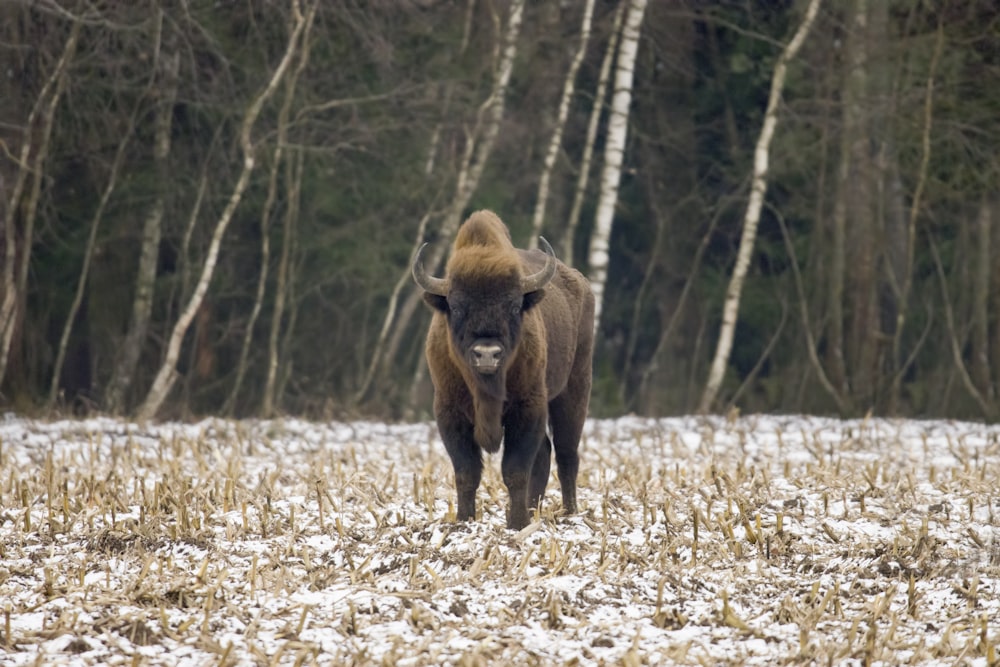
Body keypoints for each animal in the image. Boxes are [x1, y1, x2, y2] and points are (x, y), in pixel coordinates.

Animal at [412, 211, 592, 528]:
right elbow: (466, 472)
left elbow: (515, 470)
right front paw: (464, 521)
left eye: (514, 305)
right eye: (456, 307)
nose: (487, 353)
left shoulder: (528, 408)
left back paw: (570, 513)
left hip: (573, 392)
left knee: (566, 455)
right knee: (546, 453)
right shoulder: (449, 413)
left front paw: (517, 523)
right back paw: (535, 509)